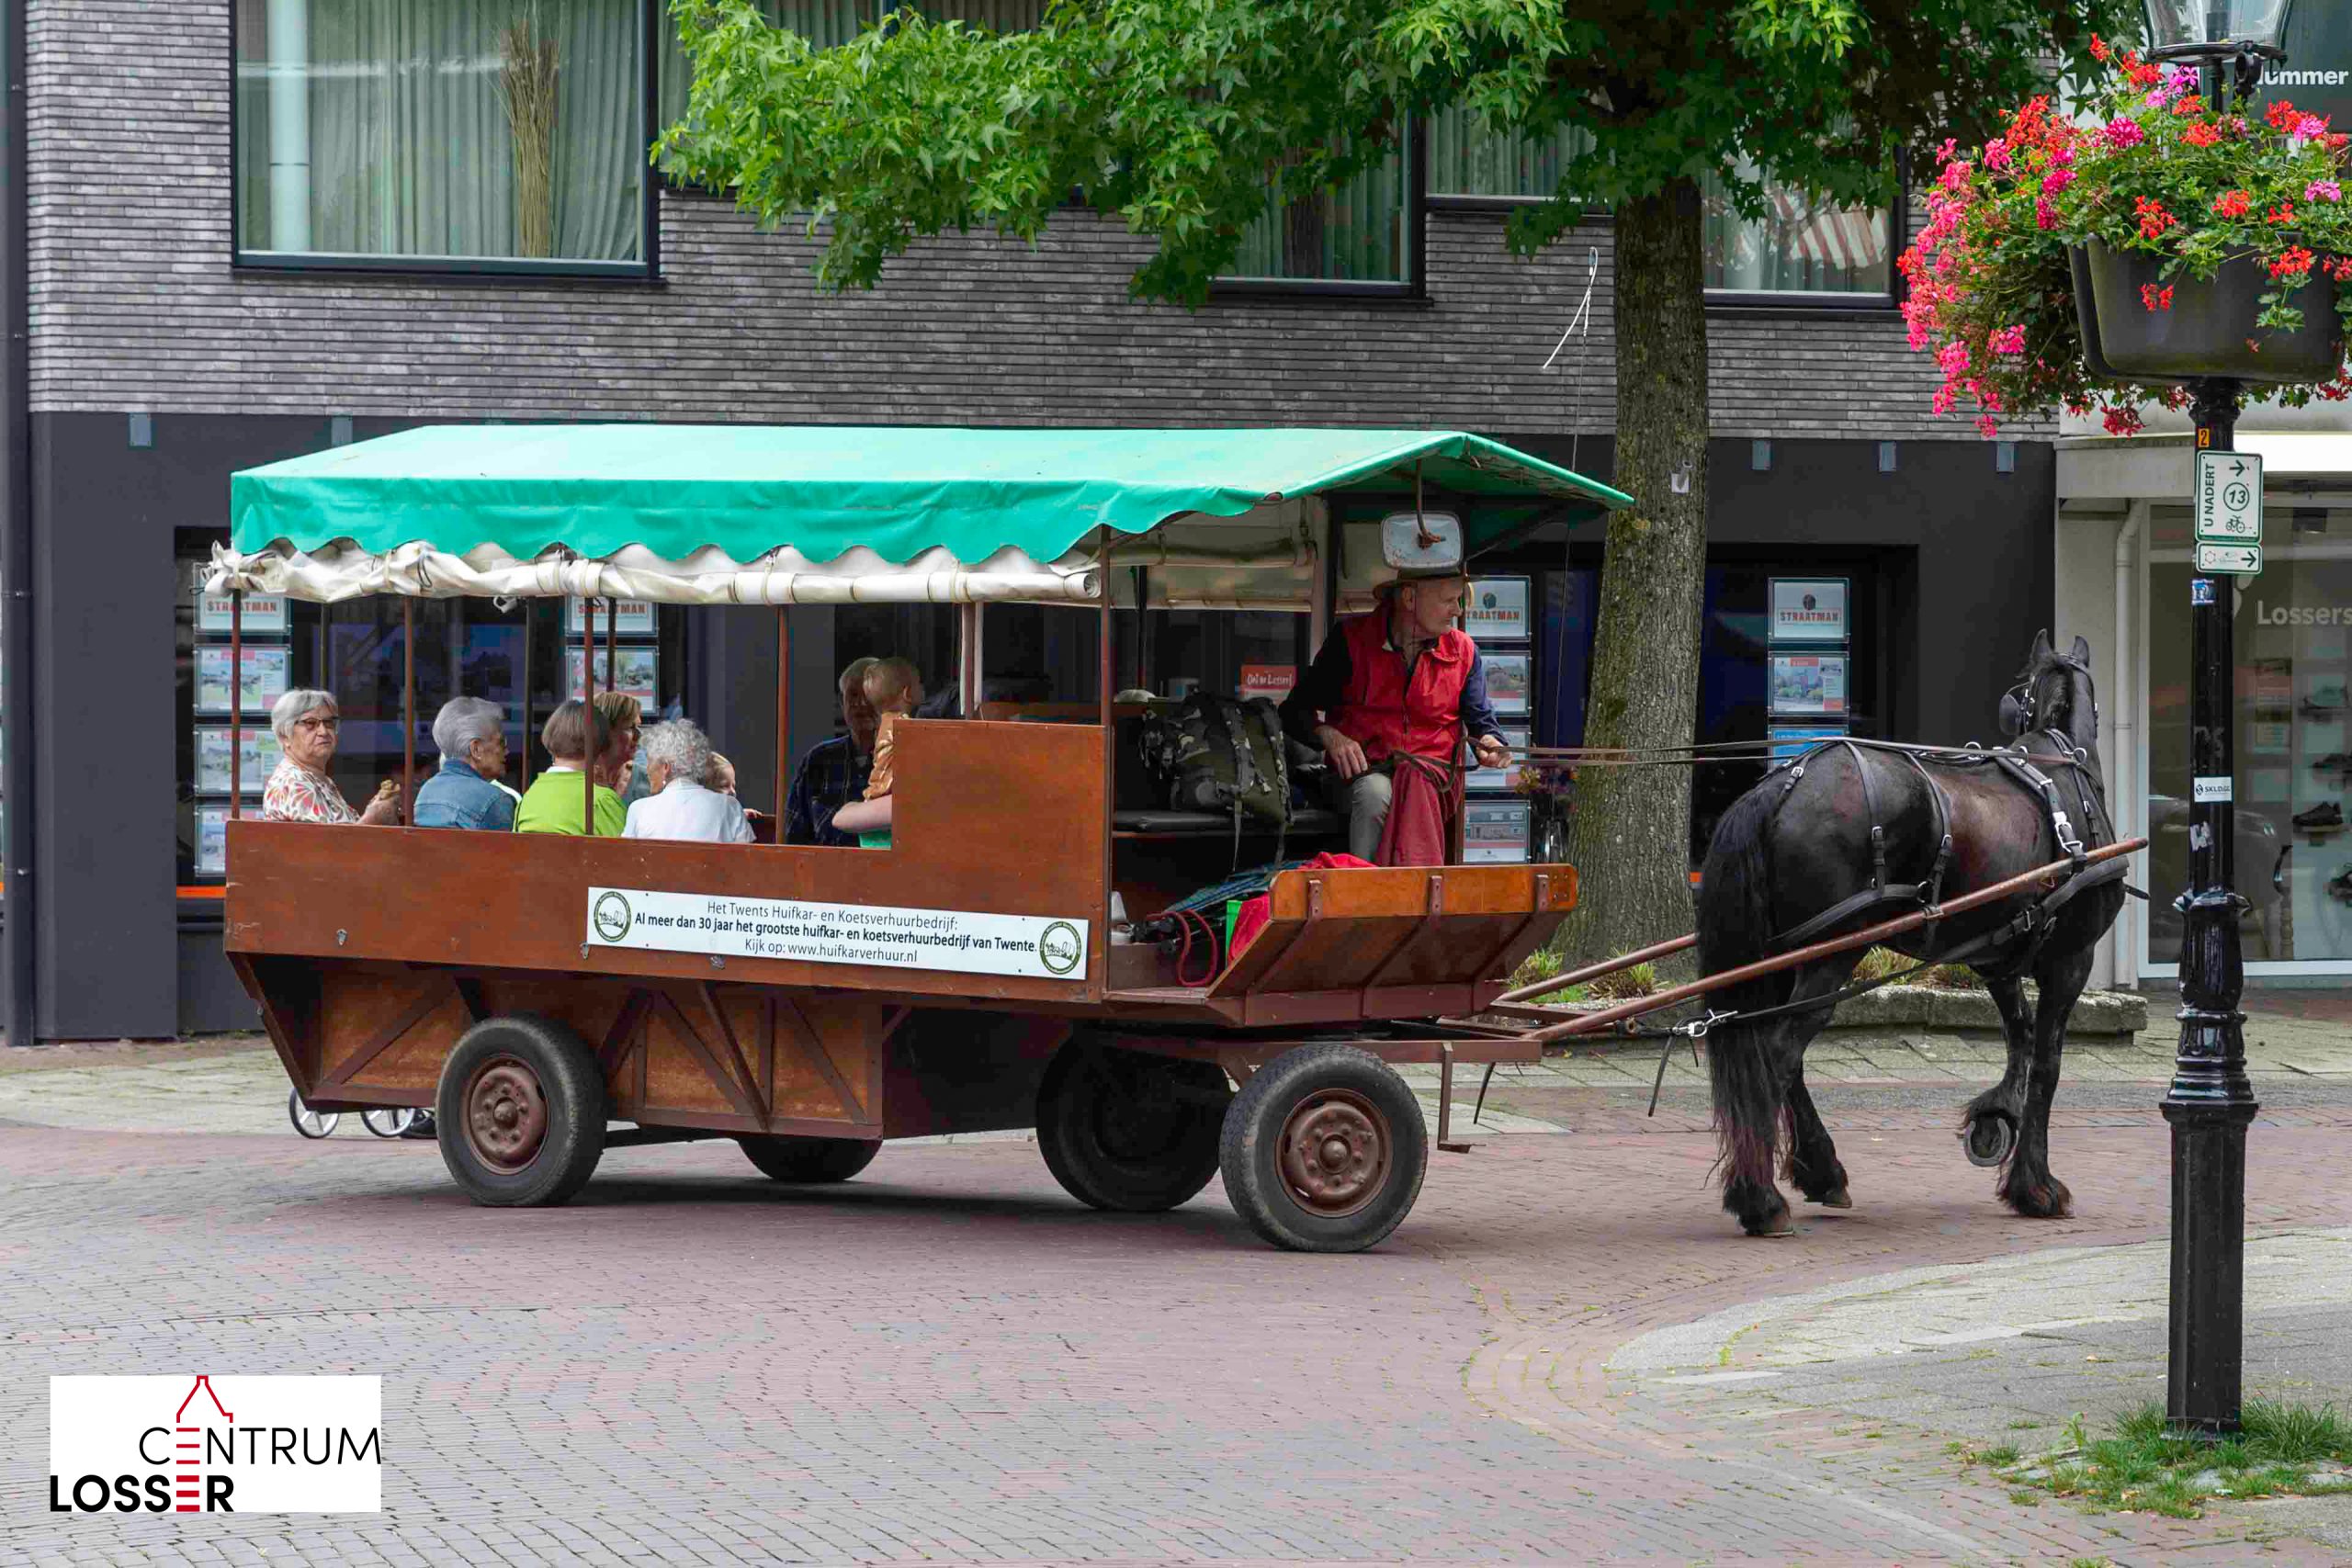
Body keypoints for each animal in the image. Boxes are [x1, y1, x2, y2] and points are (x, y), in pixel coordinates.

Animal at [1702, 634, 2126, 1241]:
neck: (2065, 771)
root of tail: (1785, 783)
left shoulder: (1997, 955)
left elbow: (2019, 1038)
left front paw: (1996, 1119)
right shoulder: (2072, 959)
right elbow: (2047, 1064)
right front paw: (2038, 1187)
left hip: (1783, 957)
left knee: (1784, 1055)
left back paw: (1820, 1172)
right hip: (1836, 949)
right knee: (1778, 1051)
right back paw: (1761, 1200)